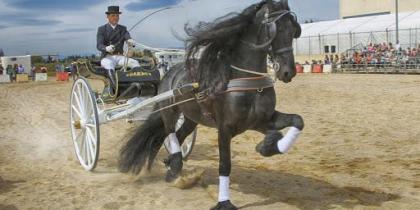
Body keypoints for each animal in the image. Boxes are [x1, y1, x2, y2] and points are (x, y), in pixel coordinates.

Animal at [120, 0, 304, 209]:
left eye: (294, 30)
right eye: (275, 29)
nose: (288, 72)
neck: (245, 79)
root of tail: (171, 71)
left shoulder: (260, 120)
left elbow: (297, 121)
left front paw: (270, 147)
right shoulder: (225, 128)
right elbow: (225, 164)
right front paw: (224, 202)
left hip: (191, 118)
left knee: (178, 135)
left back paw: (172, 166)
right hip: (170, 111)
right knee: (169, 132)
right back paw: (174, 166)